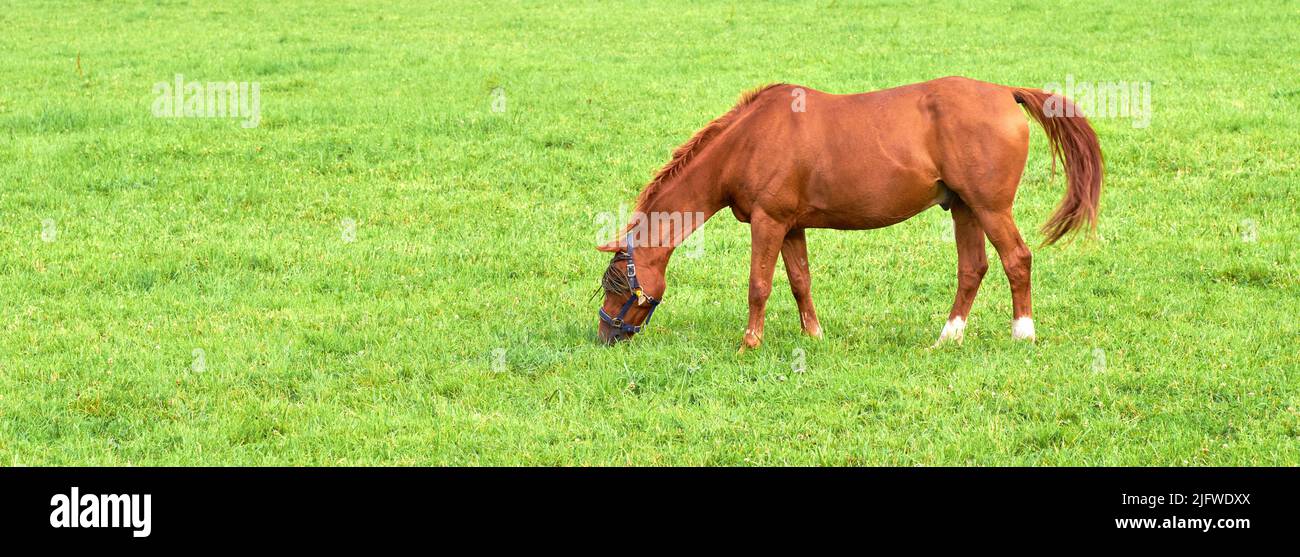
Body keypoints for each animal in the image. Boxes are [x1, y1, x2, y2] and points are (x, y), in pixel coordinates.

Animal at [595, 76, 1097, 351]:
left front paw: (749, 343)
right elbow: (800, 282)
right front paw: (814, 336)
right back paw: (947, 338)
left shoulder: (768, 223)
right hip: (965, 209)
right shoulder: (791, 226)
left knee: (1017, 260)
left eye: (618, 283)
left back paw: (1023, 334)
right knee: (973, 269)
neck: (749, 141)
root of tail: (1005, 93)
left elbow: (759, 286)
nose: (604, 336)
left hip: (990, 208)